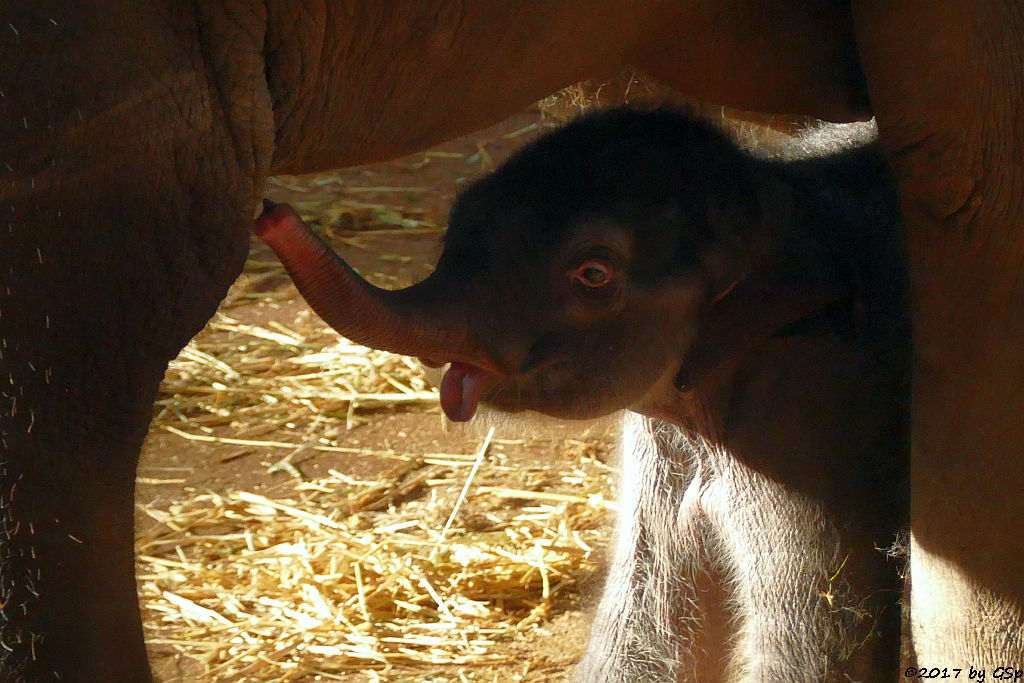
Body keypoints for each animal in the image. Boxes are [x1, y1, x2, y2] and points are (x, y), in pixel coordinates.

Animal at [253, 107, 905, 679]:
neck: (782, 195)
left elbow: (811, 641)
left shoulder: (810, 426)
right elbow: (645, 620)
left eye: (594, 274)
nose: (269, 212)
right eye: (459, 214)